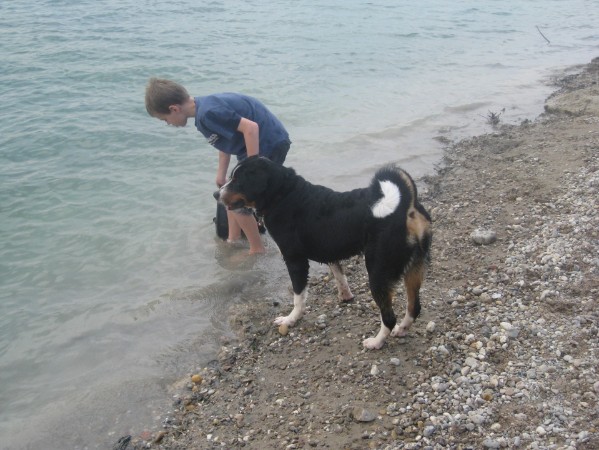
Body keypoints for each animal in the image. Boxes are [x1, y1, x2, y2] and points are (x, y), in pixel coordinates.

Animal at [216, 156, 432, 350]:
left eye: (238, 180)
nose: (215, 194)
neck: (282, 196)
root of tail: (405, 207)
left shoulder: (295, 260)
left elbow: (298, 297)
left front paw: (290, 319)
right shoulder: (331, 253)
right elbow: (340, 277)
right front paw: (345, 296)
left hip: (378, 272)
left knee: (389, 317)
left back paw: (376, 342)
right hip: (414, 268)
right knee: (414, 308)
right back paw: (401, 330)